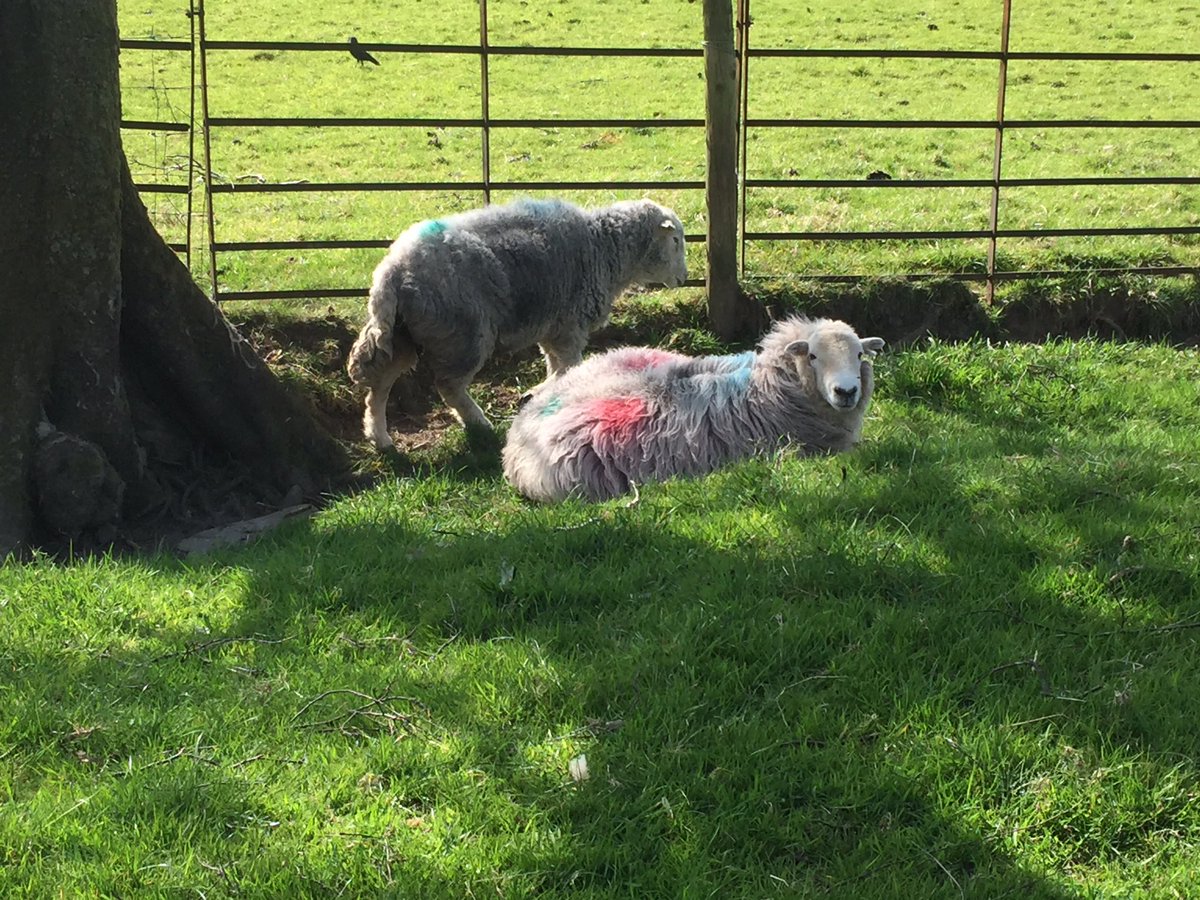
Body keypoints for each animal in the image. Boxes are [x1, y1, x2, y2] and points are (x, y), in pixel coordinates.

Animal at [346, 197, 689, 449]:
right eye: (674, 240)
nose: (684, 278)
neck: (604, 248)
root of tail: (390, 274)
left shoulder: (554, 326)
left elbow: (554, 364)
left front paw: (541, 393)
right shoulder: (571, 325)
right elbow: (568, 365)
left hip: (403, 334)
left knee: (380, 385)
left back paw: (379, 437)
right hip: (463, 332)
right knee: (449, 386)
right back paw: (478, 422)